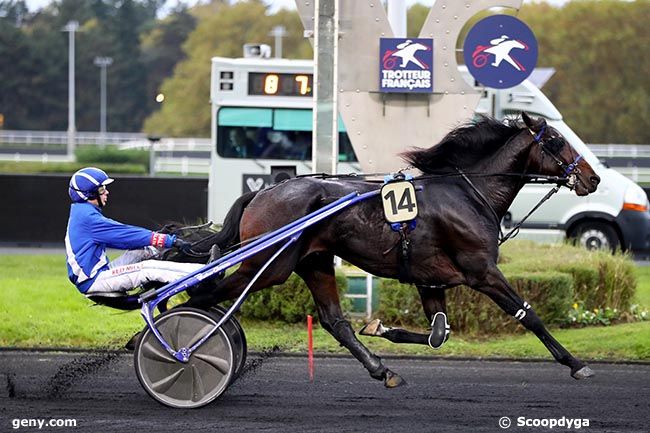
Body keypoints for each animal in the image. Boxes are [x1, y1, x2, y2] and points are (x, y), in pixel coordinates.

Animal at [177, 113, 596, 386]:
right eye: (556, 142)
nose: (592, 178)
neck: (469, 194)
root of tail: (262, 192)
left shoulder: (432, 281)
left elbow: (438, 334)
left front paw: (379, 326)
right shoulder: (482, 272)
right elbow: (529, 315)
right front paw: (575, 363)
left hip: (314, 262)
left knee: (335, 321)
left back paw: (384, 370)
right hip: (268, 265)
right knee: (203, 295)